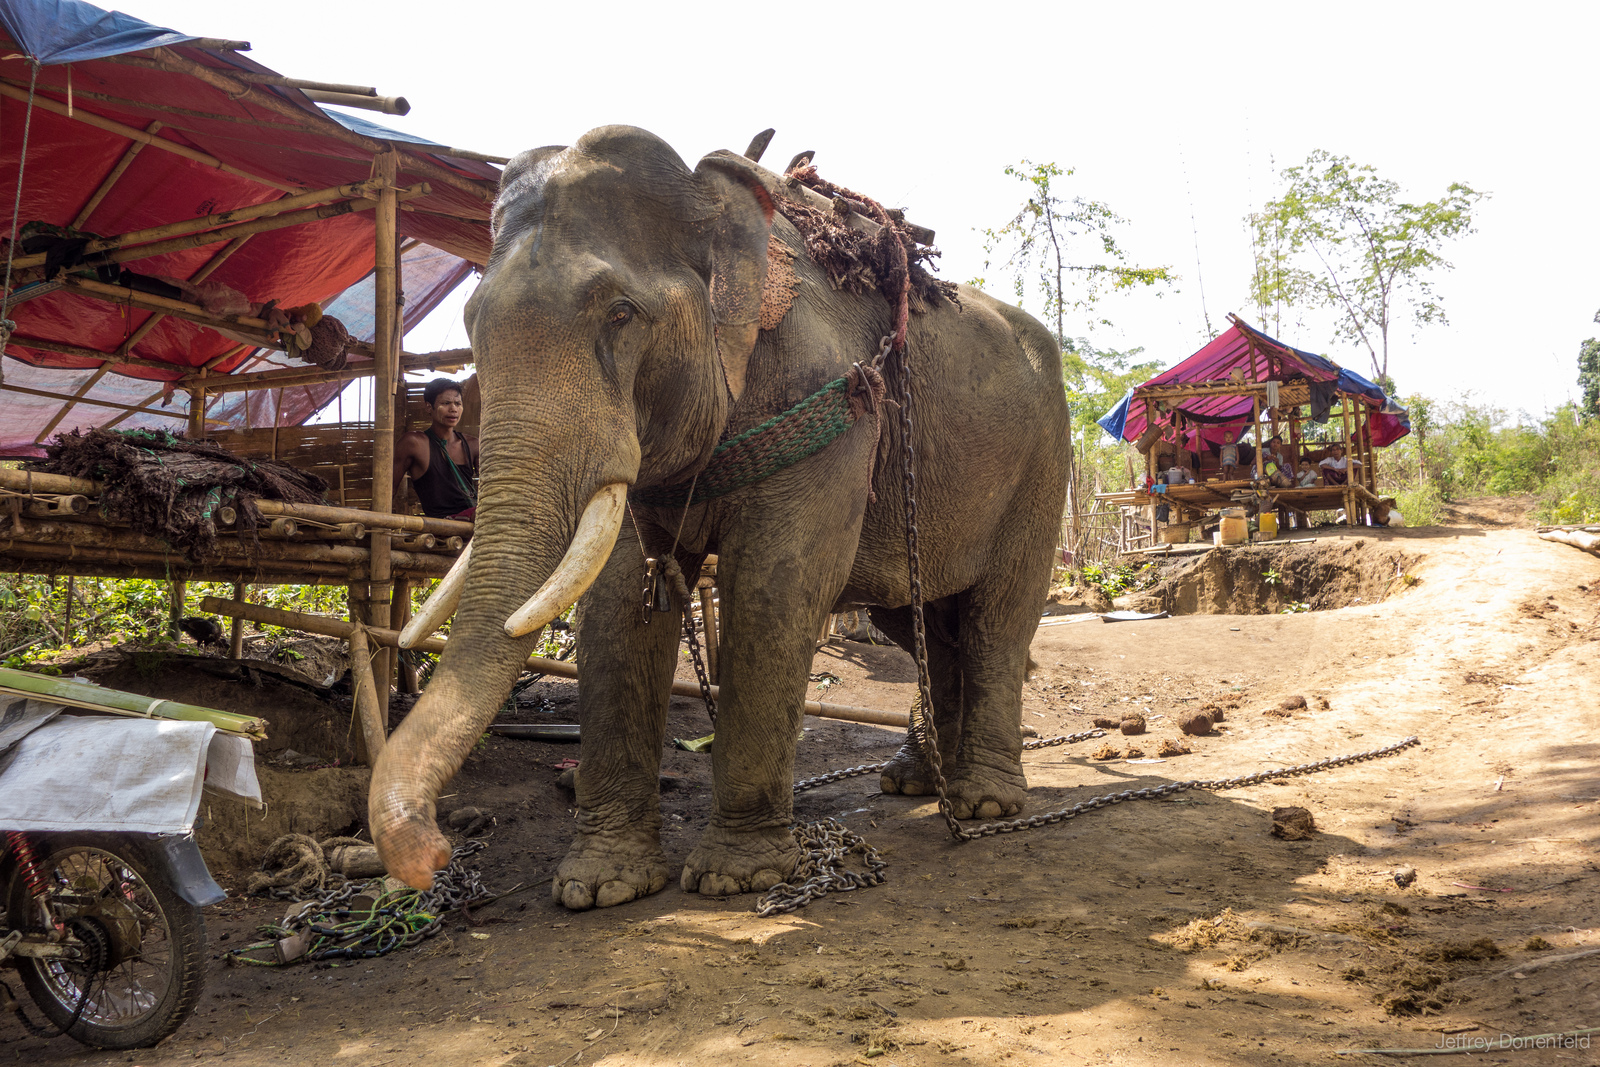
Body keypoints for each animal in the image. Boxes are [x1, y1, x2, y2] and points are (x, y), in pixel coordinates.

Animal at [372, 125, 1068, 908]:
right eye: (470, 321)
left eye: (620, 314)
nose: (430, 852)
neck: (712, 201)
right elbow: (618, 598)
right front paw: (601, 888)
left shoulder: (832, 401)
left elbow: (774, 586)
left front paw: (737, 877)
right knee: (916, 620)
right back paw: (914, 782)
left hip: (1043, 460)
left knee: (995, 618)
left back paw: (983, 801)